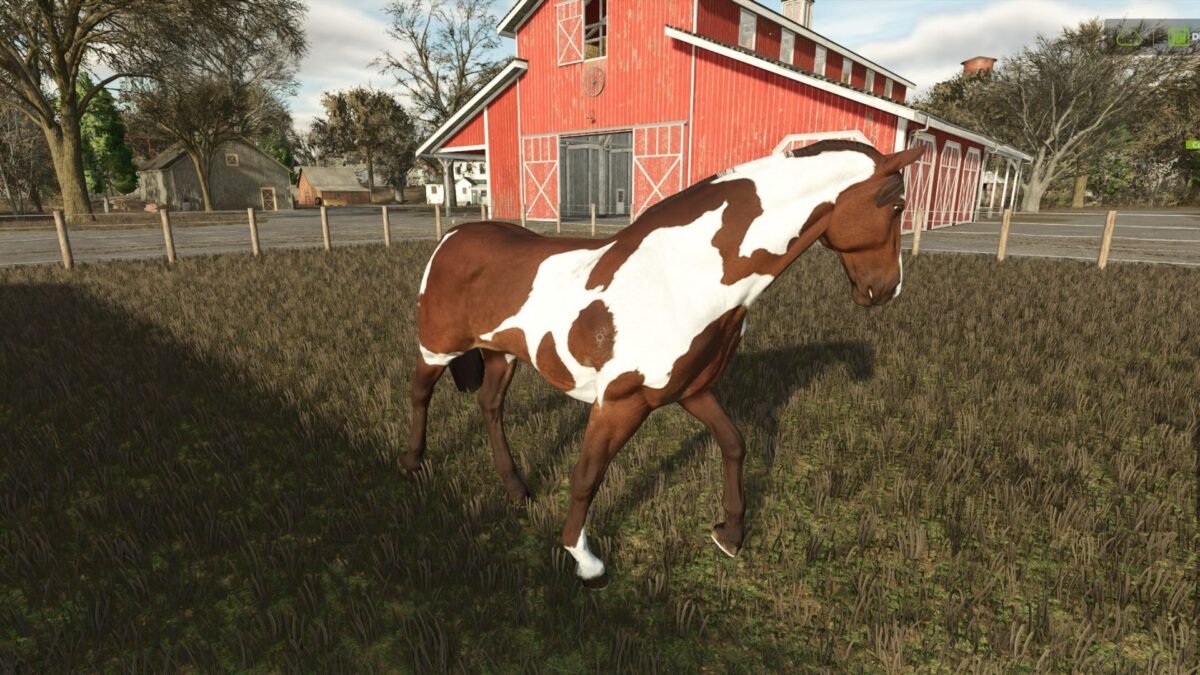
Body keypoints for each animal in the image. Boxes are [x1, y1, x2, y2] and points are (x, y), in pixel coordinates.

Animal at [403, 139, 926, 589]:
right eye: (897, 207)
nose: (886, 290)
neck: (680, 277)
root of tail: (453, 235)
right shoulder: (619, 402)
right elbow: (587, 476)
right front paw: (585, 562)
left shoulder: (691, 391)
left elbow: (734, 444)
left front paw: (730, 534)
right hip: (437, 348)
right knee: (420, 394)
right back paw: (412, 466)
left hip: (502, 353)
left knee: (491, 407)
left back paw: (515, 488)